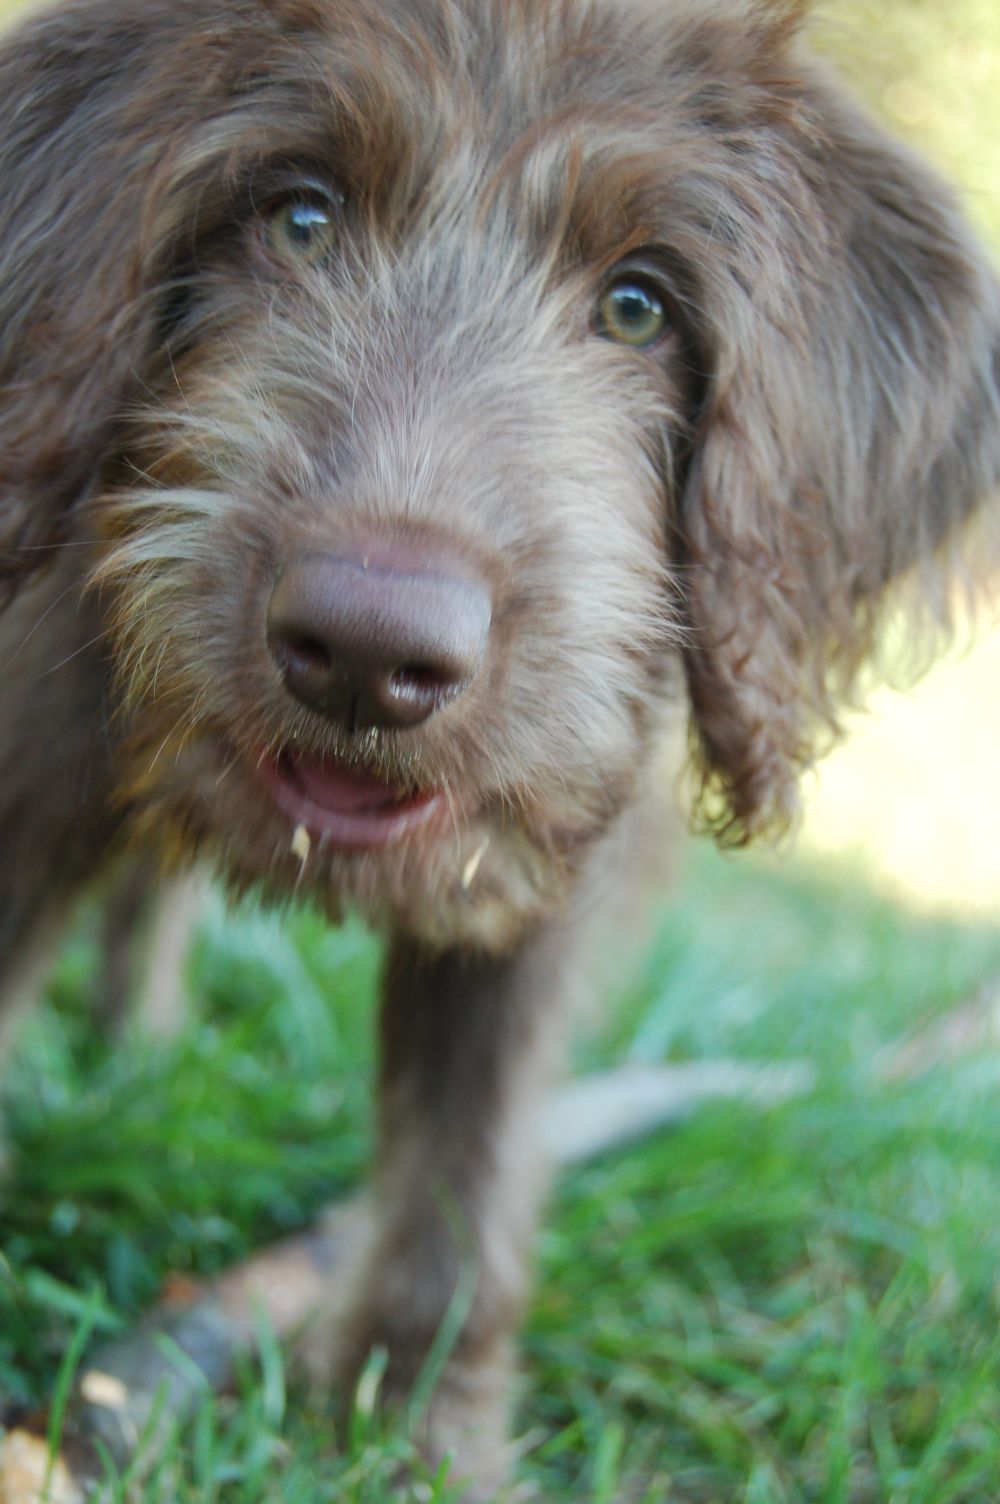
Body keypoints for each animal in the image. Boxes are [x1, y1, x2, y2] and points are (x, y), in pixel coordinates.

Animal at [1, 0, 998, 1491]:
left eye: (639, 306)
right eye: (298, 218)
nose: (368, 648)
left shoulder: (557, 869)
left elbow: (463, 1165)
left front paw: (416, 1438)